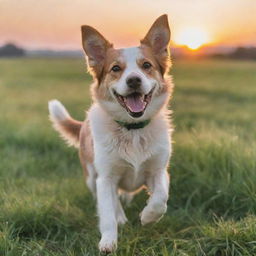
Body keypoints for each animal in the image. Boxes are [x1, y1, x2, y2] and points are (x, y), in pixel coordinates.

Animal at [48, 14, 173, 252]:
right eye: (115, 68)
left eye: (146, 65)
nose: (133, 80)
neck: (132, 129)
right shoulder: (105, 178)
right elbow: (107, 214)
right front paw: (108, 241)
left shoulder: (158, 170)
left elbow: (161, 198)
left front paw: (148, 216)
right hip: (91, 176)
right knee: (109, 200)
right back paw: (121, 217)